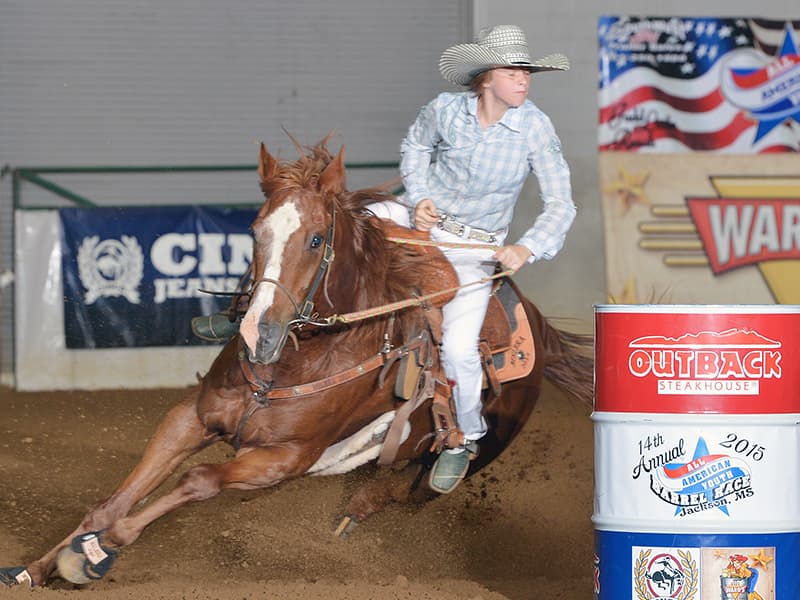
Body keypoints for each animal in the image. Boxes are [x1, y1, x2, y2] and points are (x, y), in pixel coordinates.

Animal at [0, 139, 588, 584]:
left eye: (315, 238)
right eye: (255, 230)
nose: (257, 332)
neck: (298, 360)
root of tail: (536, 326)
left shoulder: (285, 459)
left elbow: (198, 481)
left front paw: (96, 553)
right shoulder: (191, 418)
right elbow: (115, 500)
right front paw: (37, 567)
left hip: (452, 465)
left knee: (392, 494)